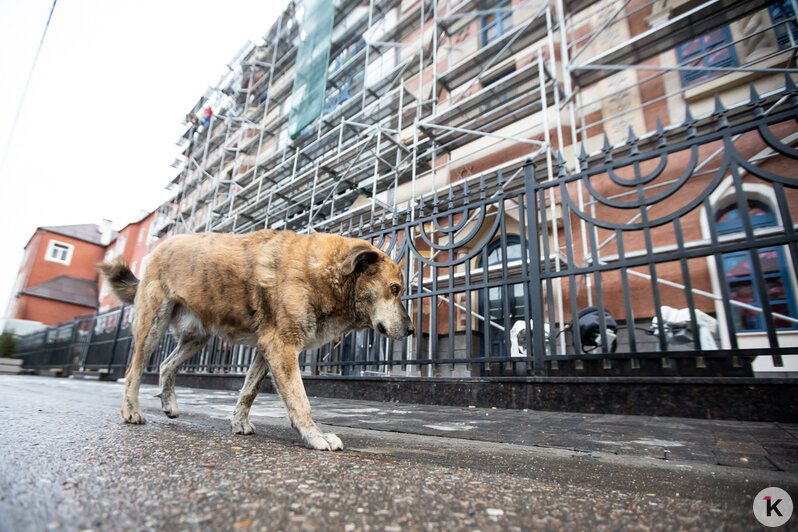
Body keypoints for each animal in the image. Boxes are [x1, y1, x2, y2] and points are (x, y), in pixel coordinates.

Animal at [97, 231, 416, 450]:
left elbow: (249, 390)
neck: (323, 274)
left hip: (197, 338)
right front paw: (315, 437)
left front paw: (238, 422)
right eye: (395, 289)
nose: (412, 330)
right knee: (133, 371)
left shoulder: (266, 349)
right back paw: (131, 411)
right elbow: (300, 401)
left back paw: (169, 404)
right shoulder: (282, 347)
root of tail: (161, 247)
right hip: (152, 325)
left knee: (165, 365)